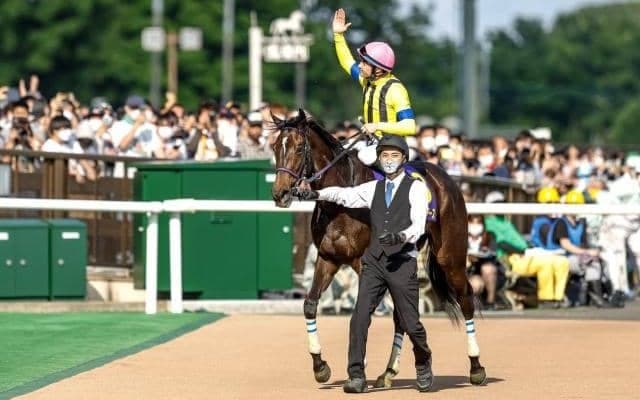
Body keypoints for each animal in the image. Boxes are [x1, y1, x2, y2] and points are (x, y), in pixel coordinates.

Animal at [271, 109, 486, 388]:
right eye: (275, 147)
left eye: (298, 148)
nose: (280, 193)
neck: (340, 205)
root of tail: (445, 177)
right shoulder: (328, 258)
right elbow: (310, 304)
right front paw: (320, 366)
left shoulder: (363, 264)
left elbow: (365, 312)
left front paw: (357, 370)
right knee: (401, 315)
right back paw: (388, 372)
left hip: (451, 257)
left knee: (465, 299)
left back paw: (476, 367)